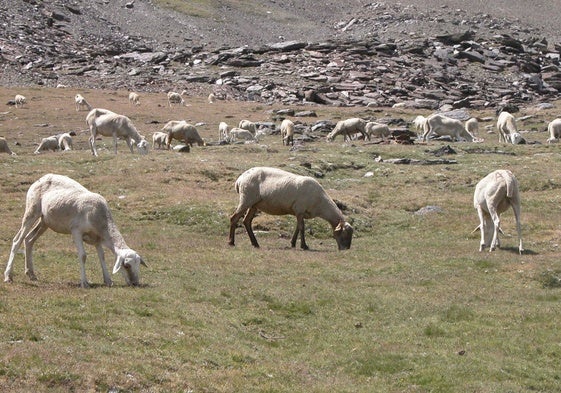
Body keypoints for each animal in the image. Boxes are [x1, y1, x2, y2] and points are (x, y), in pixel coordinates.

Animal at [4, 173, 144, 286]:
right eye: (126, 265)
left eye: (138, 265)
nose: (135, 283)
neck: (102, 221)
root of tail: (42, 178)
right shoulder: (76, 231)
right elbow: (83, 256)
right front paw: (84, 282)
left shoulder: (97, 238)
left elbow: (102, 256)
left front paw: (108, 280)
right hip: (31, 211)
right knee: (17, 240)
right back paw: (8, 276)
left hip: (45, 221)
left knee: (29, 239)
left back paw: (31, 273)